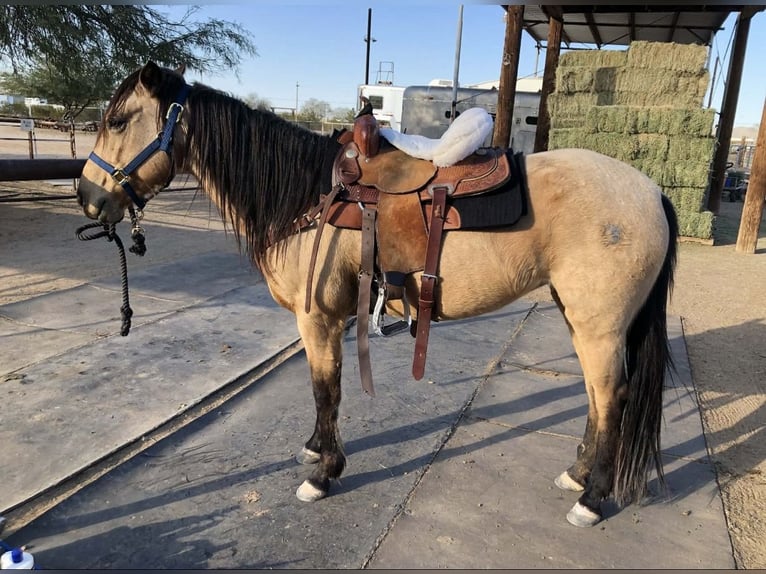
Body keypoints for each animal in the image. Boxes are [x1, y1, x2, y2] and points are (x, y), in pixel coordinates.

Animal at [76, 62, 678, 528]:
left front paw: (324, 474)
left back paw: (592, 499)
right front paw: (316, 449)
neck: (308, 195)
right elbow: (323, 392)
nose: (87, 197)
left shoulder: (318, 319)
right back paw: (576, 475)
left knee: (613, 399)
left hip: (599, 327)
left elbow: (326, 391)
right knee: (597, 398)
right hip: (580, 320)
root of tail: (651, 191)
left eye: (118, 120)